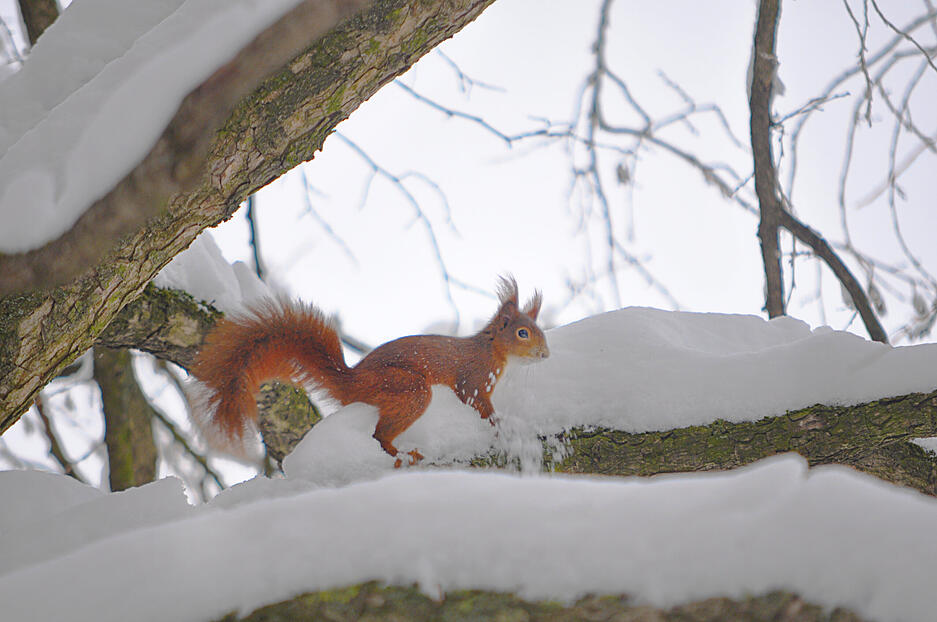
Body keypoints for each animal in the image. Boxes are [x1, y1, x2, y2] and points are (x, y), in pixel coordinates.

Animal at [192, 276, 549, 465]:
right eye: (522, 333)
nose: (545, 354)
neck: (491, 350)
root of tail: (352, 381)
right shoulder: (473, 380)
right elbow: (478, 405)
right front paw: (500, 424)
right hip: (408, 389)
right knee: (379, 434)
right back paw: (402, 451)